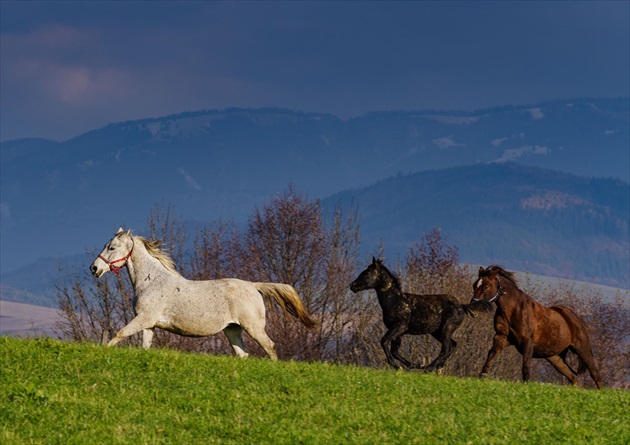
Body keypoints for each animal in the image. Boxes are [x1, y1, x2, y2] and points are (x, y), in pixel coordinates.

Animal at [90, 227, 316, 360]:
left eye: (112, 247)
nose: (94, 268)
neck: (152, 281)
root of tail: (254, 286)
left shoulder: (144, 318)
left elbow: (119, 334)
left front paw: (103, 351)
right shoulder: (149, 323)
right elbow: (145, 346)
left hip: (253, 327)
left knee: (270, 346)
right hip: (232, 330)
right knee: (243, 354)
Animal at [350, 256, 488, 372]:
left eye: (367, 273)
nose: (352, 286)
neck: (395, 301)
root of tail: (462, 306)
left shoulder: (399, 327)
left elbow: (384, 341)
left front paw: (397, 366)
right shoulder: (399, 332)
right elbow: (395, 351)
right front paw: (415, 365)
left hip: (446, 329)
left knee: (446, 347)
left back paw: (429, 368)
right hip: (436, 332)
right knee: (453, 345)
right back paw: (438, 367)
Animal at [476, 266, 604, 386]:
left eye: (486, 286)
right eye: (474, 285)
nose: (474, 304)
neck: (512, 310)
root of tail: (575, 318)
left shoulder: (527, 341)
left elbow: (526, 366)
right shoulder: (501, 337)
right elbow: (492, 353)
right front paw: (483, 375)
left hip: (582, 349)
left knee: (595, 374)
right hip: (554, 356)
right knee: (572, 376)